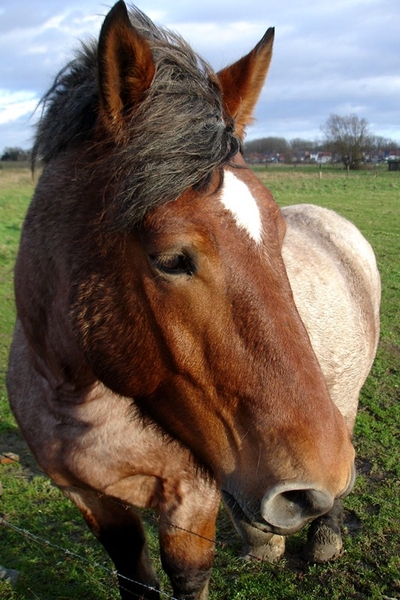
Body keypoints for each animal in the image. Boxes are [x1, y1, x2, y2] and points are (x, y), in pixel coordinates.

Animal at [7, 2, 378, 596]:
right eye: (171, 259)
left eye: (277, 233)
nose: (312, 479)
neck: (81, 402)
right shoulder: (91, 501)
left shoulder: (191, 501)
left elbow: (187, 576)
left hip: (342, 405)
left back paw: (324, 537)